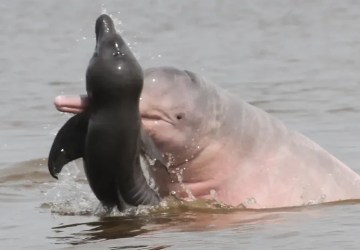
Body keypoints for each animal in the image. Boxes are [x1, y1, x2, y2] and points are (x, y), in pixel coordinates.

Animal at [48, 14, 165, 211]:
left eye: (95, 53)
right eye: (123, 46)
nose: (104, 18)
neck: (119, 107)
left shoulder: (85, 119)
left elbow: (62, 142)